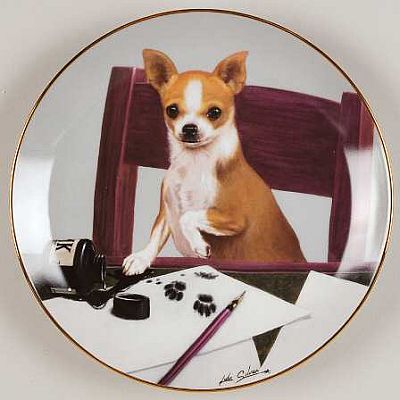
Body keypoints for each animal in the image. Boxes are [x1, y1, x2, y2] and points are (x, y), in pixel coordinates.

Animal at [122, 49, 305, 275]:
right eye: (172, 110)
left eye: (215, 112)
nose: (190, 128)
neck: (194, 162)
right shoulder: (167, 210)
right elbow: (156, 235)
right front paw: (141, 257)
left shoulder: (235, 218)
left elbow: (187, 216)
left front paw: (199, 245)